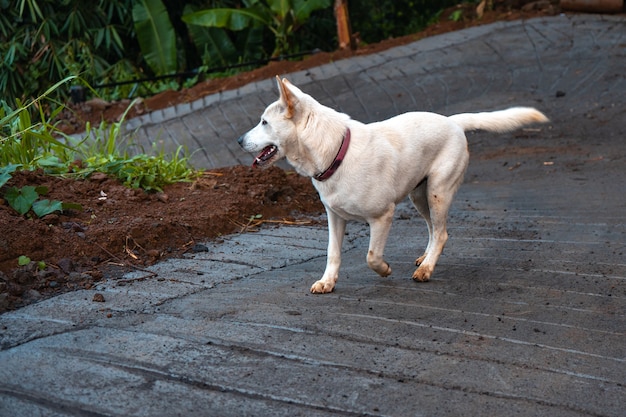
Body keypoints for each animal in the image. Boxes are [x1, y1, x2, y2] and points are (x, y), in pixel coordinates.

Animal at [239, 77, 544, 292]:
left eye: (264, 122)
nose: (239, 140)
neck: (336, 151)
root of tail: (452, 122)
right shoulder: (334, 217)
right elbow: (332, 253)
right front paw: (327, 282)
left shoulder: (382, 216)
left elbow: (371, 256)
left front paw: (385, 269)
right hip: (419, 196)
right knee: (433, 229)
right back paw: (425, 258)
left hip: (438, 192)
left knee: (442, 233)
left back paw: (427, 269)